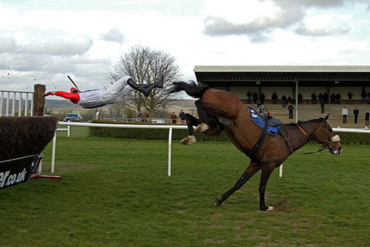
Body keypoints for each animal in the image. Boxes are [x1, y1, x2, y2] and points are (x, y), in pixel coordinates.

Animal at [170, 80, 342, 210]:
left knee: (192, 118)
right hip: (225, 111)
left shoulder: (256, 163)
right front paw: (264, 206)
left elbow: (239, 182)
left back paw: (191, 135)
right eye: (330, 129)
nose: (339, 147)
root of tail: (210, 88)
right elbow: (262, 186)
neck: (287, 137)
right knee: (198, 102)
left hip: (216, 126)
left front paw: (220, 200)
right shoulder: (268, 164)